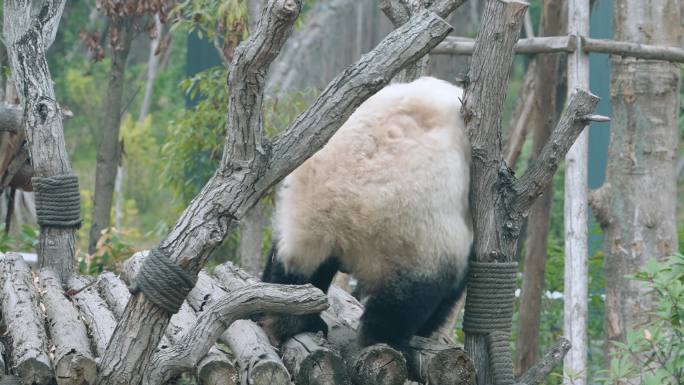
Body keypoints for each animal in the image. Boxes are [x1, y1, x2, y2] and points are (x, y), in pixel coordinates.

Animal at [260, 76, 472, 350]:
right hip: (416, 229)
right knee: (408, 298)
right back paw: (390, 343)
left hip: (302, 211)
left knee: (293, 271)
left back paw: (291, 320)